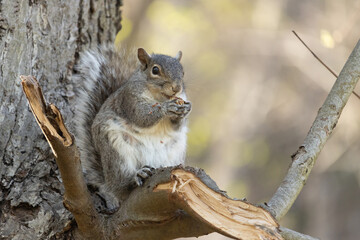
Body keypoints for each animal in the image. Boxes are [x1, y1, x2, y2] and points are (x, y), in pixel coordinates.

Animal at [73, 46, 191, 212]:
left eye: (182, 72)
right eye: (155, 70)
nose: (176, 88)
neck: (159, 97)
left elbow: (176, 126)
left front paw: (185, 109)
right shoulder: (129, 98)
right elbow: (141, 116)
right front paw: (166, 108)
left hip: (175, 151)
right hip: (116, 151)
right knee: (121, 185)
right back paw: (135, 177)